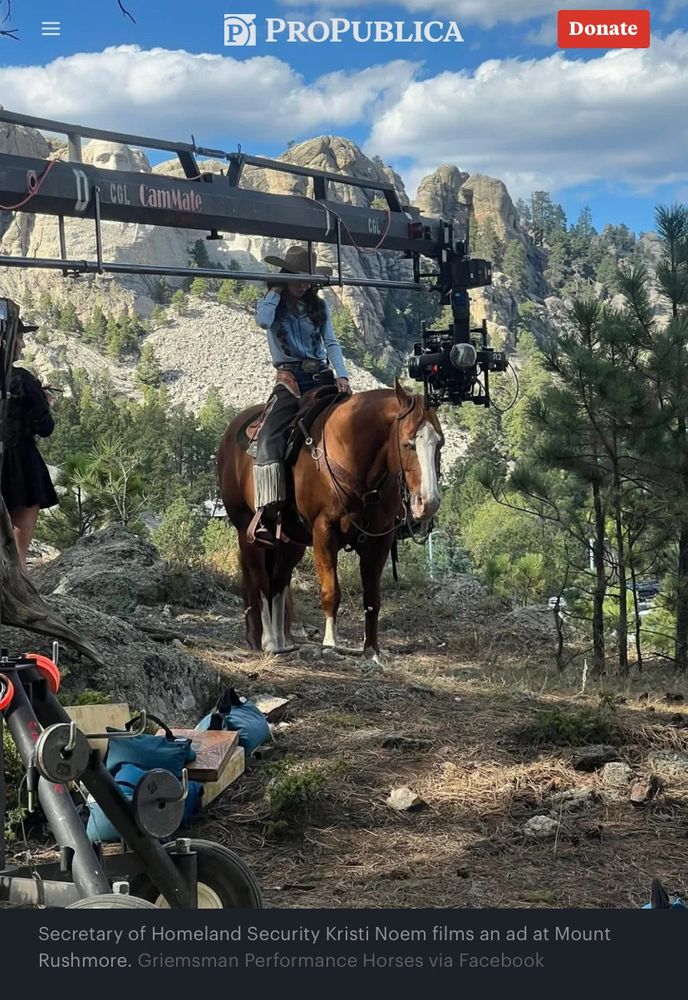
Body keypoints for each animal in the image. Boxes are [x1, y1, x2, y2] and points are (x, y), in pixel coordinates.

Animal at [218, 381, 444, 661]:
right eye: (407, 444)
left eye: (440, 444)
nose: (428, 503)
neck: (351, 451)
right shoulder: (324, 532)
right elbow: (331, 592)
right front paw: (330, 643)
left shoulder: (379, 540)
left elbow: (373, 598)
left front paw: (372, 650)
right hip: (247, 530)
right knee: (258, 579)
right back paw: (267, 640)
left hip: (290, 543)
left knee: (279, 581)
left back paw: (282, 642)